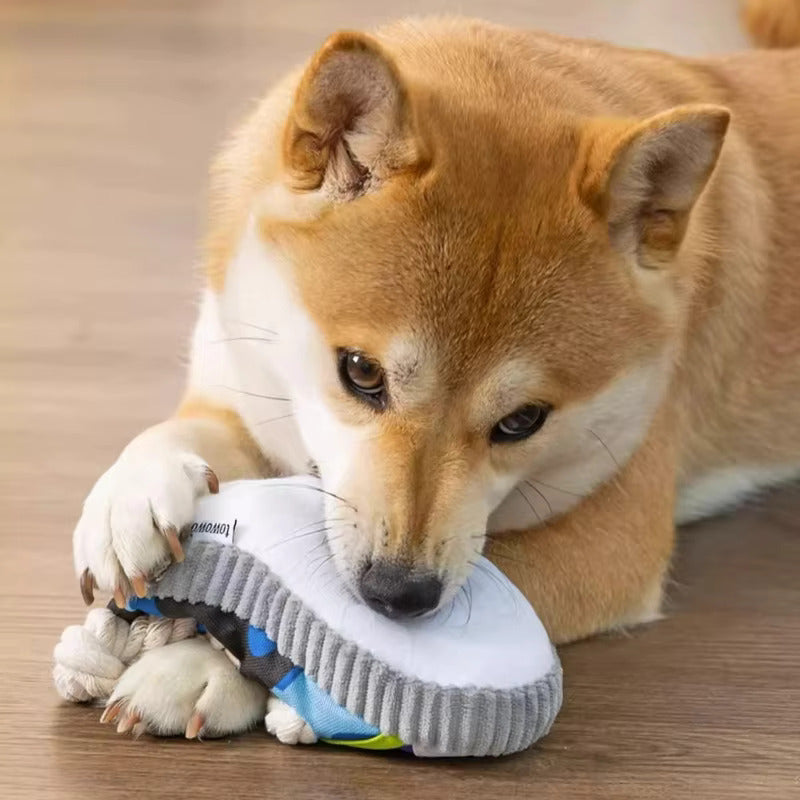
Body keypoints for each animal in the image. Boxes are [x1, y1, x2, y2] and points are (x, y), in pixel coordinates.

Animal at [70, 3, 800, 740]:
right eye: (361, 372)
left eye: (523, 420)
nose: (398, 594)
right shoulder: (241, 385)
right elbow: (176, 434)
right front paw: (131, 497)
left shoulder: (612, 540)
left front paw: (204, 666)